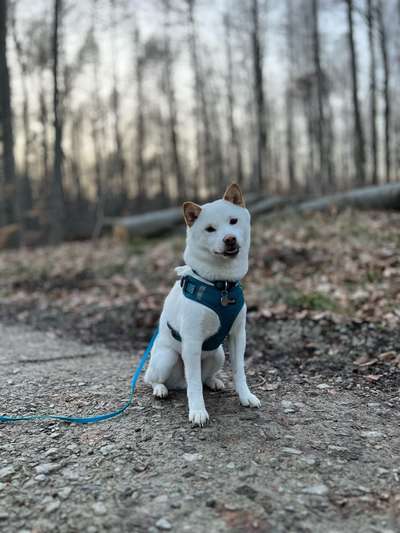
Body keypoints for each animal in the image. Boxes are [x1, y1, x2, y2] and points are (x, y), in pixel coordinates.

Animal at [145, 183, 260, 424]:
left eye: (233, 221)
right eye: (210, 229)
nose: (229, 239)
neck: (221, 285)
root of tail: (178, 383)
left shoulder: (238, 335)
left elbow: (239, 370)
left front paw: (246, 396)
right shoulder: (191, 340)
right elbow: (195, 384)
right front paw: (198, 411)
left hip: (218, 354)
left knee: (204, 376)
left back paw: (214, 381)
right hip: (167, 358)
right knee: (153, 379)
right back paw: (160, 389)